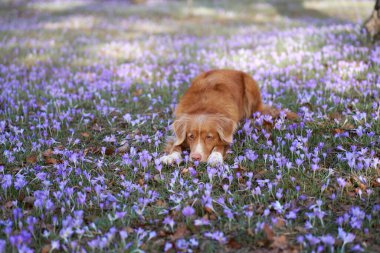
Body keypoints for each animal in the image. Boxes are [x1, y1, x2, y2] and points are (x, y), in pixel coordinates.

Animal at [160, 68, 296, 166]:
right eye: (191, 136)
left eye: (209, 137)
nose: (195, 158)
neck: (204, 107)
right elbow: (176, 145)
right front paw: (171, 157)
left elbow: (221, 144)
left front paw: (215, 157)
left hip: (250, 86)